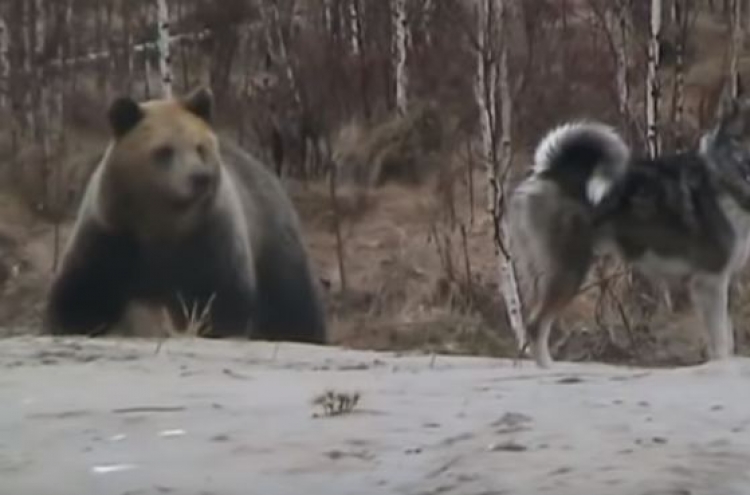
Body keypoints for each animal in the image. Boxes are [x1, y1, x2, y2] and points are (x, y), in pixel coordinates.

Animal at [45, 87, 328, 344]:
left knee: (293, 304)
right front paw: (70, 323)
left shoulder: (209, 238)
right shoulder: (113, 234)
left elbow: (221, 296)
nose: (199, 177)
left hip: (273, 246)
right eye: (164, 150)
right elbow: (83, 290)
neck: (164, 223)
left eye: (200, 148)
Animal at [512, 94, 750, 368]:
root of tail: (552, 171)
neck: (724, 185)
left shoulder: (717, 283)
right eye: (738, 138)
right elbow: (722, 342)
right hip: (569, 269)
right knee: (535, 325)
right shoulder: (710, 281)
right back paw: (548, 368)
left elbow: (725, 339)